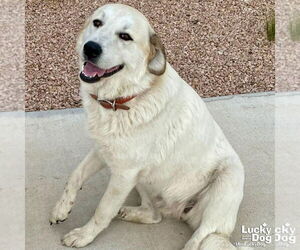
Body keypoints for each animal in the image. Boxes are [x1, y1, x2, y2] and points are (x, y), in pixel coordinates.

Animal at [49, 3, 248, 250]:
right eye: (97, 23)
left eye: (125, 36)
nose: (90, 48)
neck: (123, 99)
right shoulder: (104, 151)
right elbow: (75, 176)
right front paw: (61, 208)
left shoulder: (124, 174)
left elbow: (102, 210)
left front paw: (84, 235)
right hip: (145, 179)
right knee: (155, 215)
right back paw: (128, 212)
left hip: (225, 183)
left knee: (199, 239)